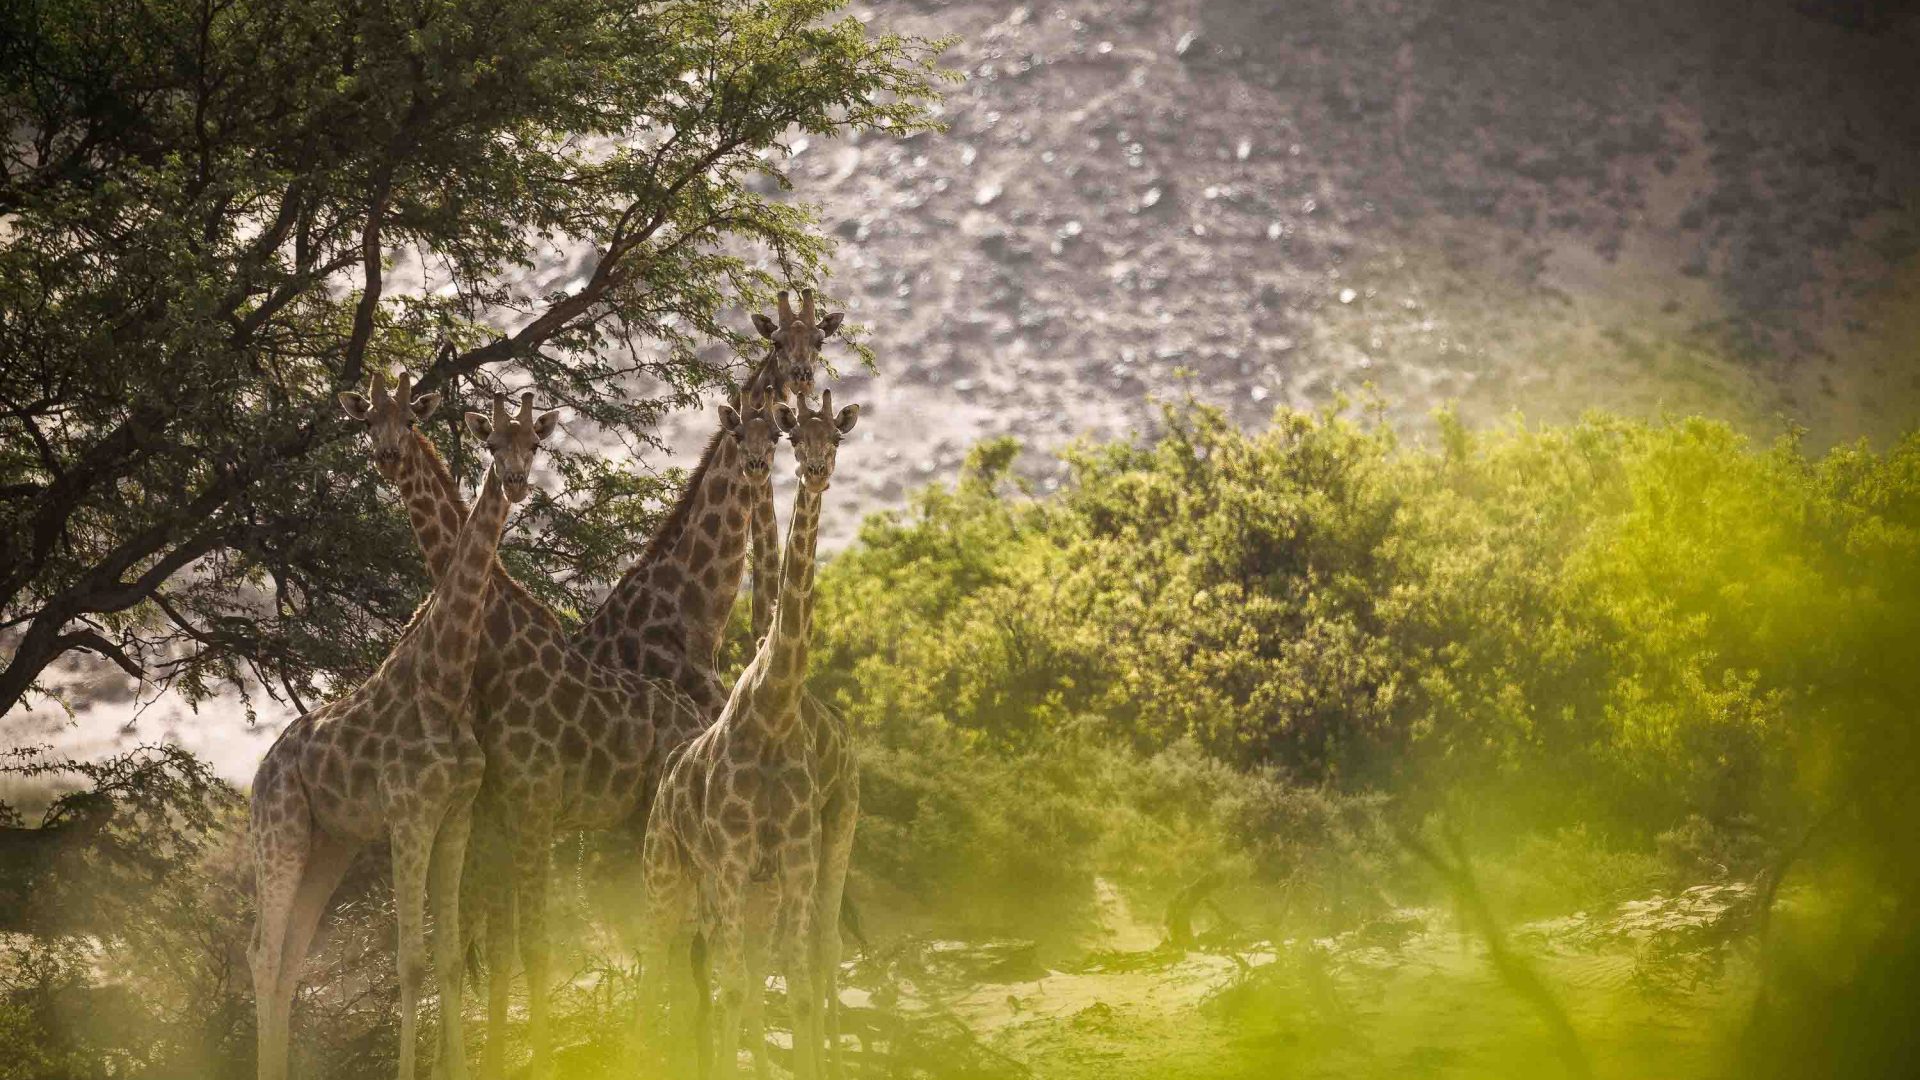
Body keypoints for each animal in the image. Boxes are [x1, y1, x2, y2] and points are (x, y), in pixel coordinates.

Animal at [247, 390, 549, 1076]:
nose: (516, 481)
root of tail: (259, 770)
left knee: (292, 957)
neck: (445, 677)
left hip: (329, 844)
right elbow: (410, 963)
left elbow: (449, 959)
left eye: (535, 443)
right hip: (279, 834)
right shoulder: (409, 816)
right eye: (491, 443)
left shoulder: (455, 815)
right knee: (265, 954)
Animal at [341, 372, 710, 1076]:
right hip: (633, 826)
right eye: (367, 421)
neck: (496, 642)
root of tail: (700, 718)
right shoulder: (491, 816)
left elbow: (534, 950)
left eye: (535, 442)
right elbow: (494, 951)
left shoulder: (534, 807)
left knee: (687, 929)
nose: (390, 457)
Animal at [641, 388, 860, 1076]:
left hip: (833, 833)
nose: (813, 471)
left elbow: (789, 985)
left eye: (835, 438)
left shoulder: (792, 858)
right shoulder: (734, 862)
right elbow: (737, 988)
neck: (775, 705)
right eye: (796, 437)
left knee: (814, 949)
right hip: (668, 876)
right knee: (668, 973)